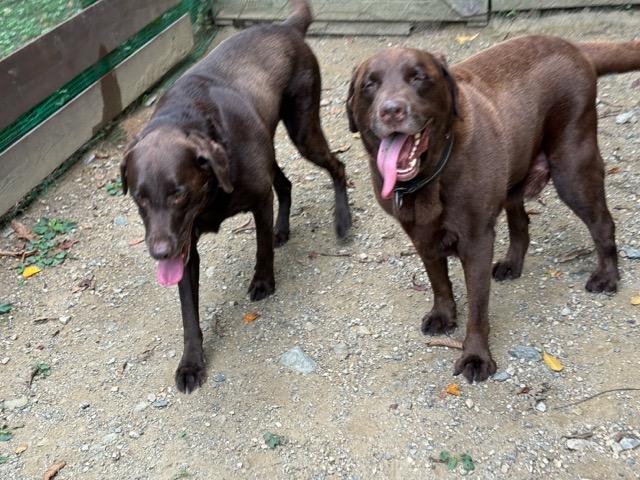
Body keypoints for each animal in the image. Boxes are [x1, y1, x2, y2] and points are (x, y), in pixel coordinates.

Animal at [120, 0, 352, 393]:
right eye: (140, 198)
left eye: (179, 193)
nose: (160, 252)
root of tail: (286, 27)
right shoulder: (186, 249)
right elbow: (188, 311)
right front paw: (191, 363)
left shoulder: (257, 201)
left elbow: (261, 249)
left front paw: (263, 282)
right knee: (285, 184)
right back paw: (282, 229)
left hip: (303, 129)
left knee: (337, 166)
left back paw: (342, 221)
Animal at [347, 35, 640, 382]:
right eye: (369, 84)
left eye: (418, 77)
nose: (391, 110)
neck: (431, 176)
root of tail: (572, 44)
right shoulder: (420, 235)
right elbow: (438, 281)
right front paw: (443, 315)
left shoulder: (477, 242)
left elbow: (477, 306)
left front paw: (475, 356)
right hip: (514, 178)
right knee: (521, 224)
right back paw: (512, 264)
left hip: (573, 168)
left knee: (602, 224)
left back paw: (607, 277)